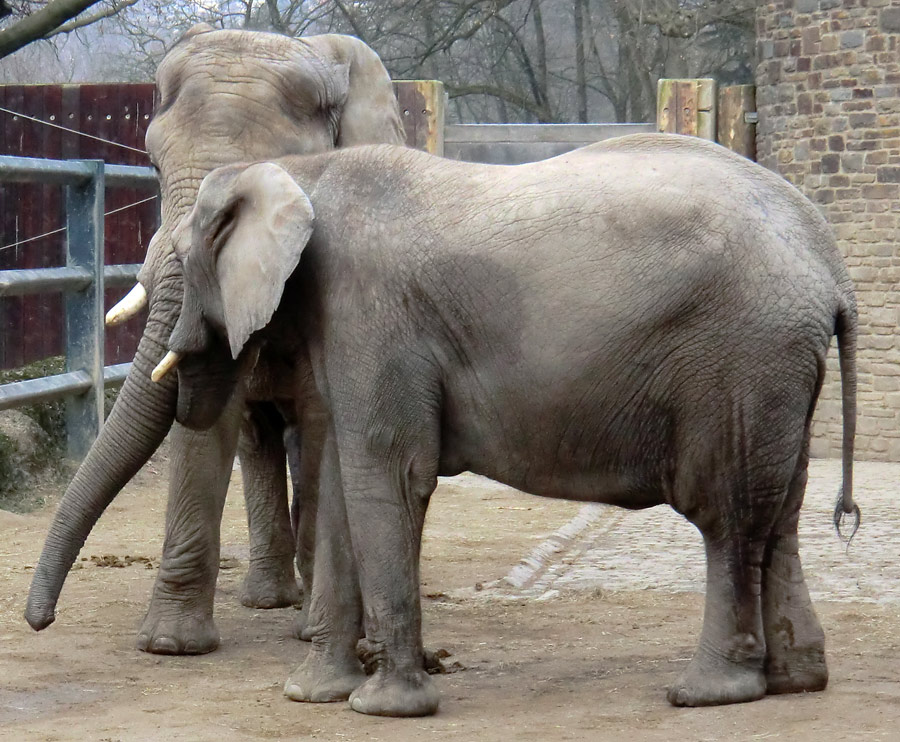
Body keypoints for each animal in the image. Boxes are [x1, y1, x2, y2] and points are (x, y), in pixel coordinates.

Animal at [23, 26, 404, 656]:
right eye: (153, 164)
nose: (39, 621)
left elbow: (320, 415)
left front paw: (314, 632)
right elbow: (210, 416)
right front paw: (171, 646)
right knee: (256, 437)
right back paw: (268, 598)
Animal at [158, 135, 860, 720]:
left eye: (183, 259)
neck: (303, 168)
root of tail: (831, 265)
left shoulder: (373, 314)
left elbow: (388, 474)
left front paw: (384, 709)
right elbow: (339, 481)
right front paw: (313, 695)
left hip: (740, 362)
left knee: (728, 516)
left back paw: (706, 693)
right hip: (778, 369)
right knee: (780, 514)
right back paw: (795, 681)